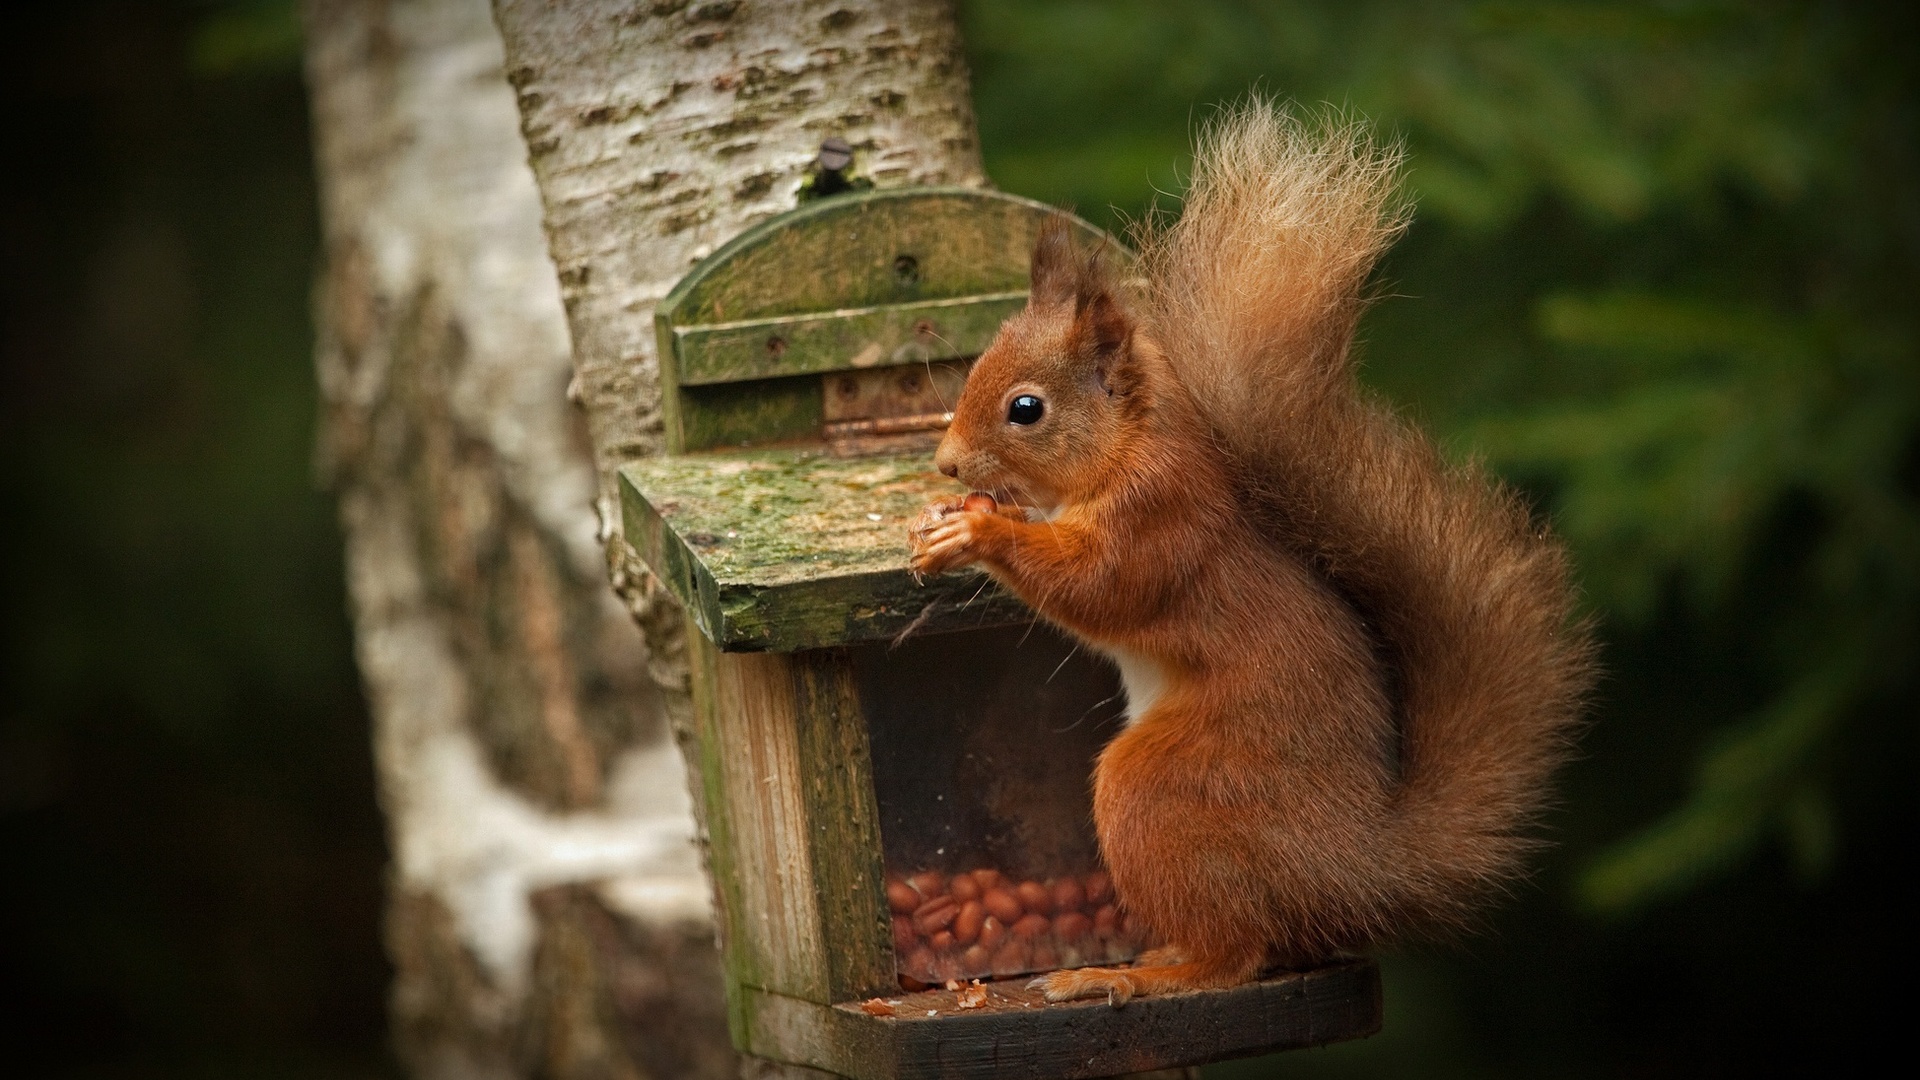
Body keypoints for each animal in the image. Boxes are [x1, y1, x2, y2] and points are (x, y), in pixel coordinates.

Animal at [906, 102, 1597, 999]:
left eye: (1027, 408)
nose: (947, 464)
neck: (1127, 446)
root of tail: (1351, 870)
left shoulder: (1160, 517)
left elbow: (1098, 587)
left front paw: (977, 532)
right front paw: (939, 519)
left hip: (1167, 790)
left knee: (1234, 953)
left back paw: (1129, 976)